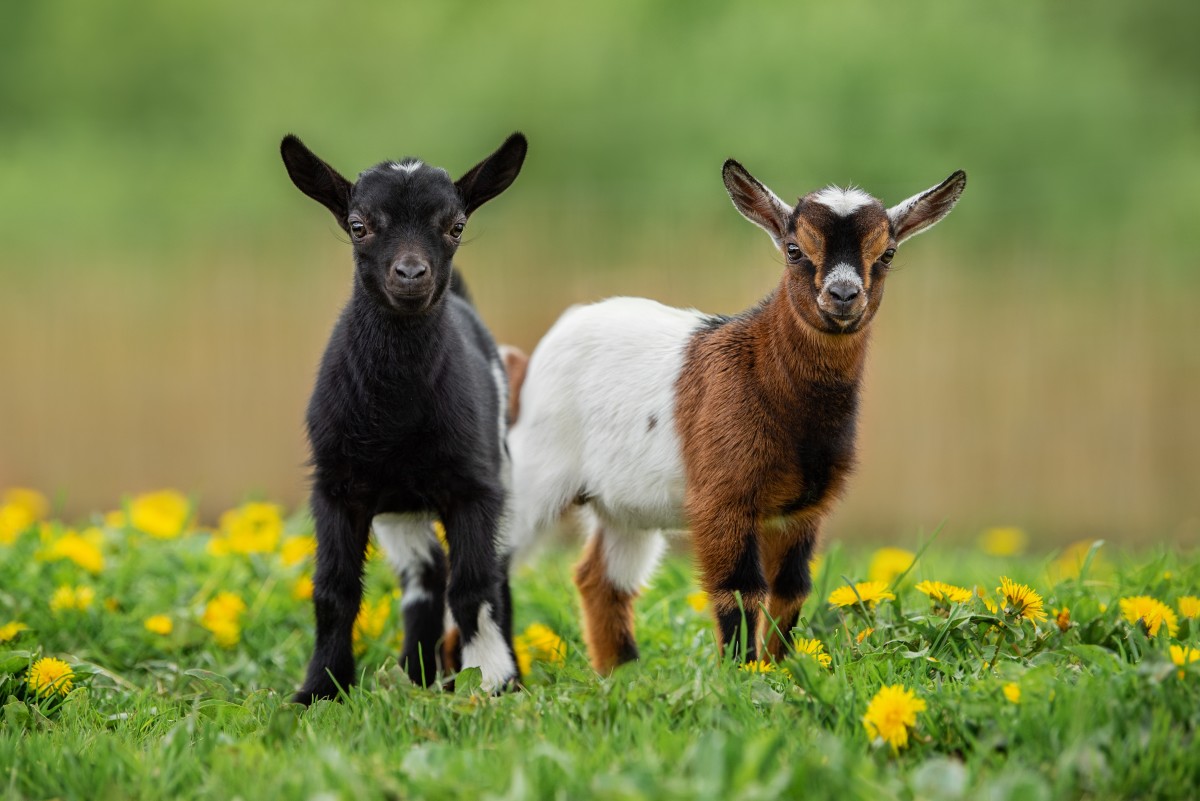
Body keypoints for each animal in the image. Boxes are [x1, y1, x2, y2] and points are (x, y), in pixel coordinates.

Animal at [283, 130, 528, 700]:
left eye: (455, 226)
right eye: (359, 225)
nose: (412, 274)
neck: (397, 415)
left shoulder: (476, 487)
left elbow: (475, 588)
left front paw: (492, 683)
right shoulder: (337, 486)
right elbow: (334, 591)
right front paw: (319, 690)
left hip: (498, 472)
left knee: (493, 576)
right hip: (400, 506)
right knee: (424, 576)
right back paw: (416, 675)